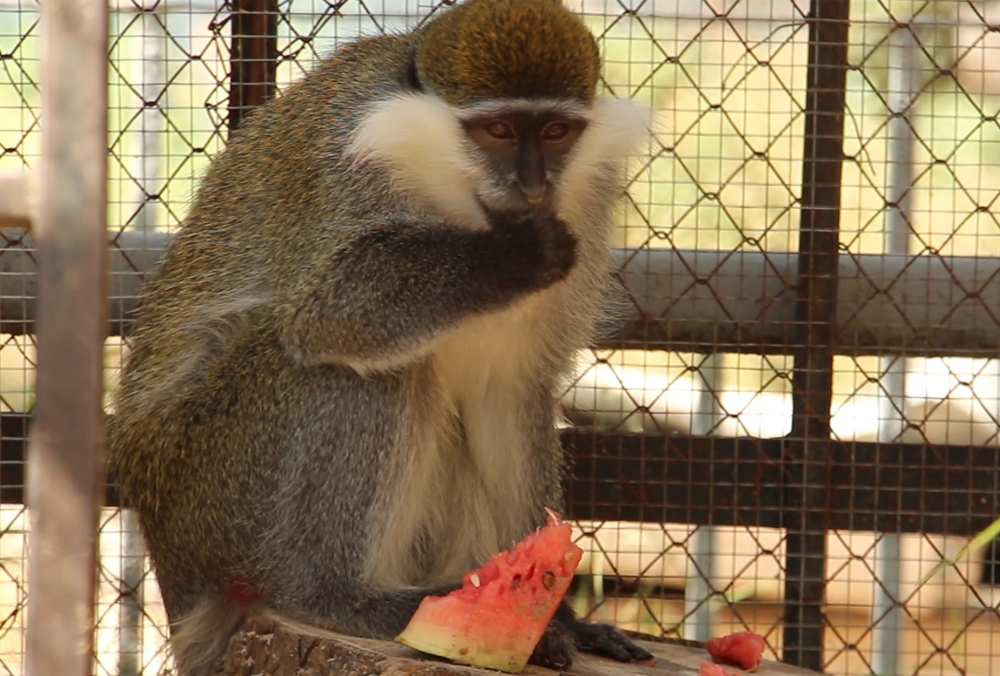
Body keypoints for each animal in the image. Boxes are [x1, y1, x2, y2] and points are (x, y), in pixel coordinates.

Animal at [109, 0, 652, 672]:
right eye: (498, 131)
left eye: (555, 133)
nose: (532, 187)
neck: (450, 193)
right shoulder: (348, 171)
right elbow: (327, 313)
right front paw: (510, 257)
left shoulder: (583, 199)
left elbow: (509, 388)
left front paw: (559, 610)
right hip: (210, 491)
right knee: (365, 366)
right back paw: (336, 597)